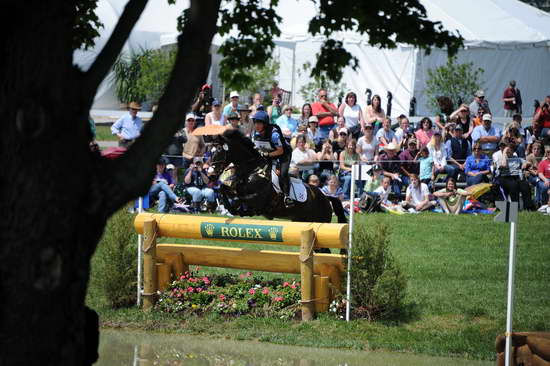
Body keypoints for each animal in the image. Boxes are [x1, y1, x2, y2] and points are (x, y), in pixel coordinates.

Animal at [209, 129, 348, 226]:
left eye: (220, 149)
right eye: (210, 150)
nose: (211, 174)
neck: (251, 170)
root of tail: (326, 197)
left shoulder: (258, 198)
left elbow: (242, 198)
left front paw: (238, 210)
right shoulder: (235, 188)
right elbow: (223, 189)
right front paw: (230, 209)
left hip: (319, 220)